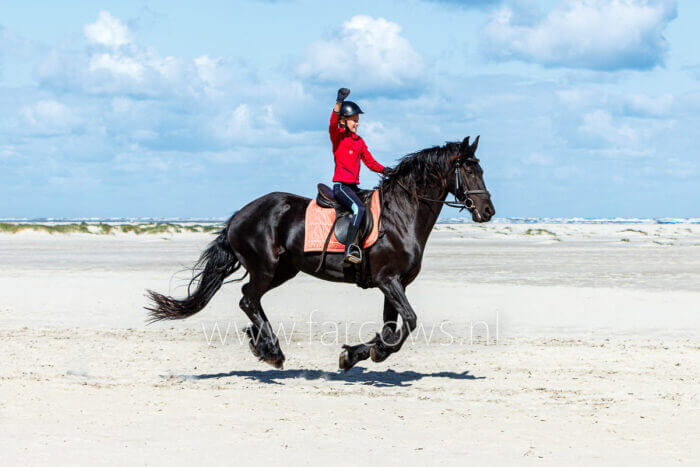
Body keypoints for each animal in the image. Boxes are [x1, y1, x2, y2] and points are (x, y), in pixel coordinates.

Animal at [146, 136, 498, 372]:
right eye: (468, 170)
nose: (488, 211)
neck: (401, 216)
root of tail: (240, 215)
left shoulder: (394, 285)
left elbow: (390, 327)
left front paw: (357, 354)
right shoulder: (389, 281)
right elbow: (409, 321)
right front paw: (372, 353)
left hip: (283, 270)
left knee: (250, 298)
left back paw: (264, 346)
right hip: (266, 267)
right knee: (248, 299)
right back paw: (272, 351)